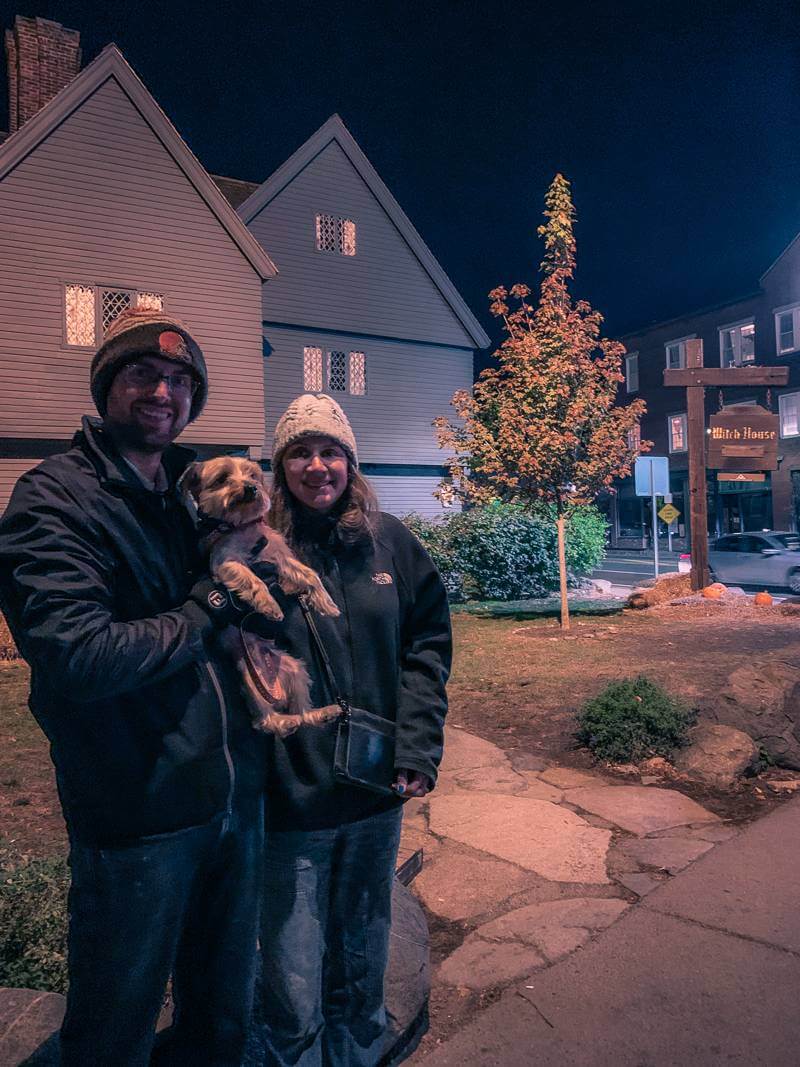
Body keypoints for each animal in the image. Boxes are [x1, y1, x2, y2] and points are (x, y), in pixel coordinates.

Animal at [180, 454, 343, 738]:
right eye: (222, 479)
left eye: (252, 475)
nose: (251, 487)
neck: (242, 525)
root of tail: (271, 684)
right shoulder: (226, 561)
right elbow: (252, 579)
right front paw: (269, 605)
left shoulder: (278, 557)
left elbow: (309, 574)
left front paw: (326, 603)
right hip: (248, 676)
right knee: (265, 721)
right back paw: (285, 722)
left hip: (295, 669)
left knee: (302, 711)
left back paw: (320, 713)